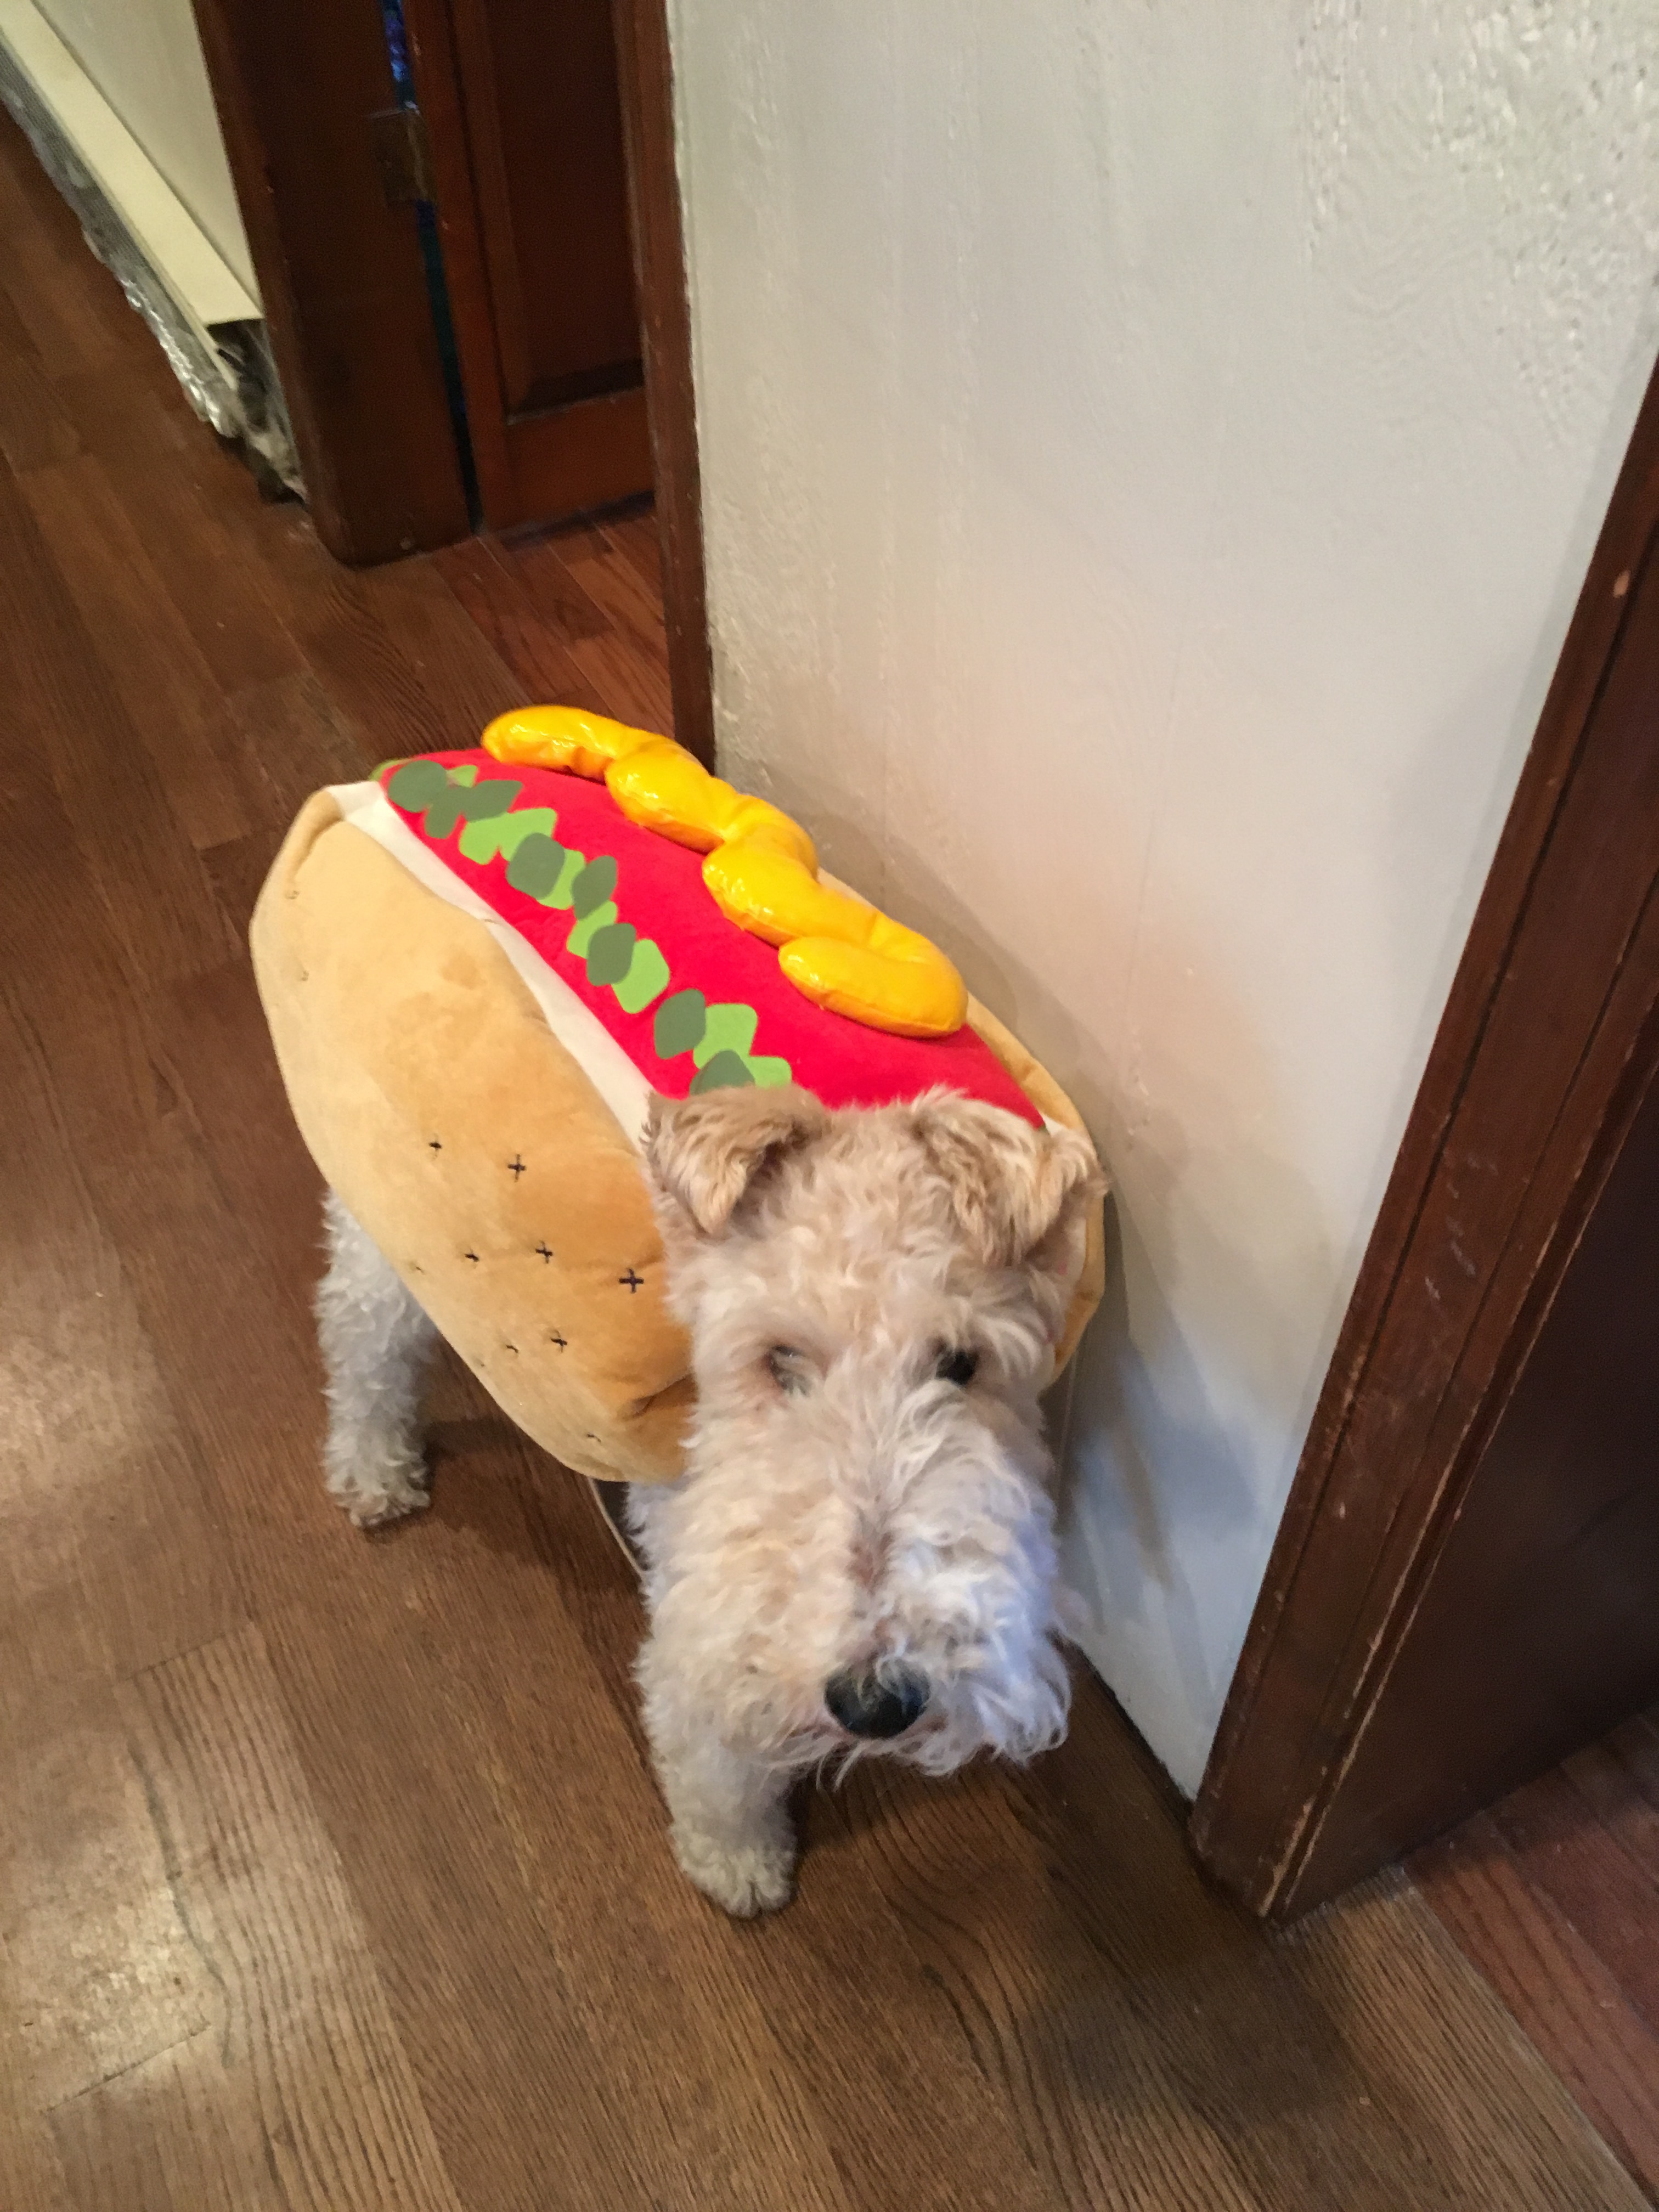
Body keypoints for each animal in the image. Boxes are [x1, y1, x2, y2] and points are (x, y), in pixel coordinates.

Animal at [315, 1081, 1103, 1916]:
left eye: (961, 1363)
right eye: (779, 1360)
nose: (877, 1701)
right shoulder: (698, 1634)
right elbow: (715, 1771)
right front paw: (739, 1864)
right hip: (384, 1243)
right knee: (362, 1339)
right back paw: (374, 1474)